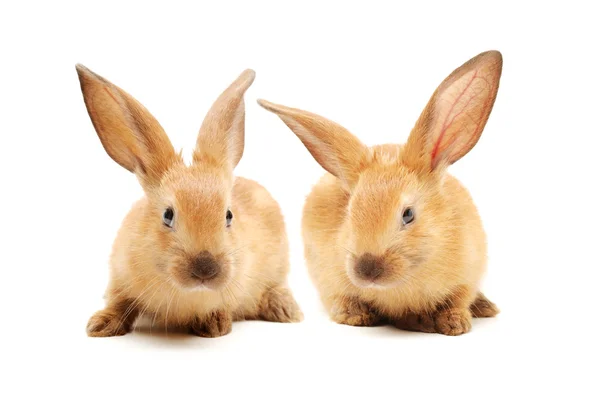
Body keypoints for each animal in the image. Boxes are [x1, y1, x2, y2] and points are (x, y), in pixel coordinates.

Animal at [77, 65, 302, 336]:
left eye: (228, 215)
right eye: (168, 215)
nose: (206, 268)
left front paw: (214, 325)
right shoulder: (119, 276)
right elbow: (119, 302)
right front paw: (99, 325)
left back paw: (286, 310)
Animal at [258, 50, 502, 334]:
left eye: (408, 214)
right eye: (350, 212)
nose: (367, 270)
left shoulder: (468, 274)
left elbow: (459, 300)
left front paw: (455, 324)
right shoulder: (329, 280)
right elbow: (341, 297)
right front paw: (355, 316)